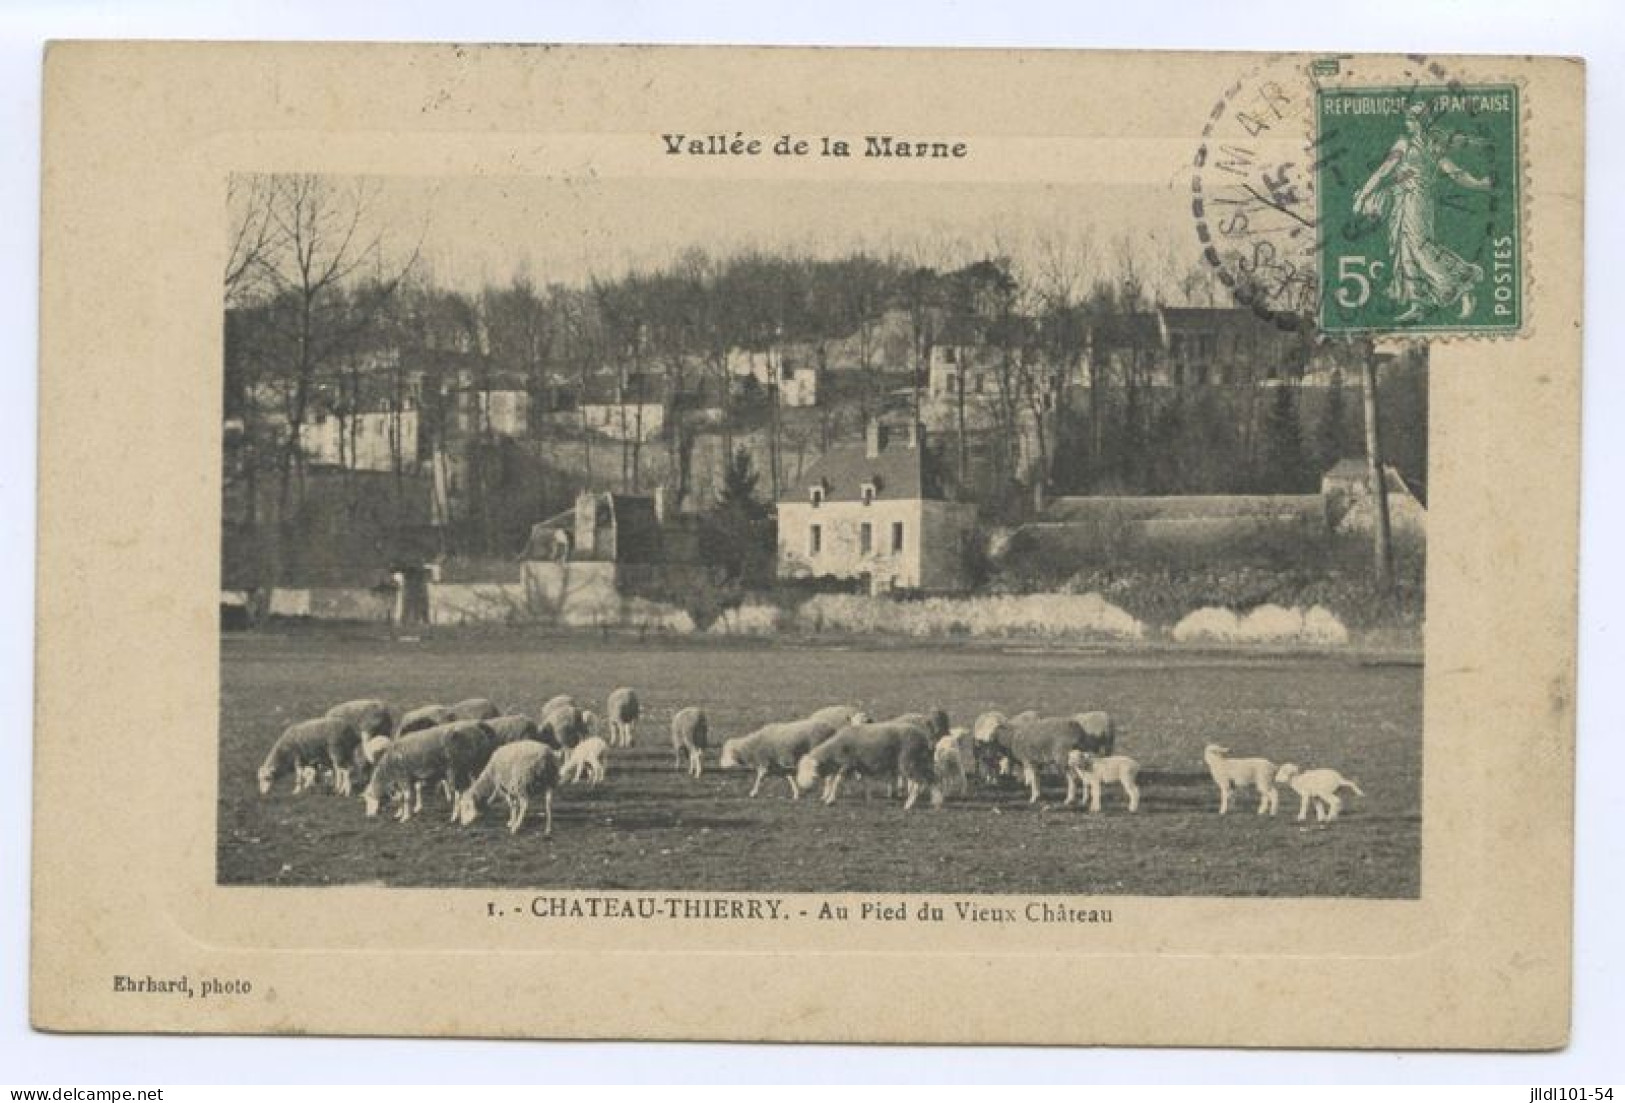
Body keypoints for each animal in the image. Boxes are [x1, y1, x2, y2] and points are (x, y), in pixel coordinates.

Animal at [362, 721, 494, 825]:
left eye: (368, 799)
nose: (369, 816)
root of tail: (477, 728)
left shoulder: (403, 776)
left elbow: (406, 797)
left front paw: (405, 817)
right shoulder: (410, 778)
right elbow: (404, 797)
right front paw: (402, 813)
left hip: (456, 769)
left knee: (458, 793)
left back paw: (455, 817)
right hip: (475, 766)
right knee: (476, 786)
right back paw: (480, 812)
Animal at [796, 721, 949, 815]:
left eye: (813, 772)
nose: (804, 788)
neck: (835, 749)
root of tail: (925, 739)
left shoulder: (848, 764)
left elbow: (838, 781)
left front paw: (830, 800)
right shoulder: (860, 766)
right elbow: (866, 782)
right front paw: (869, 799)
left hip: (910, 761)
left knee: (919, 783)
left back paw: (908, 805)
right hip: (924, 762)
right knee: (934, 779)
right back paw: (937, 803)